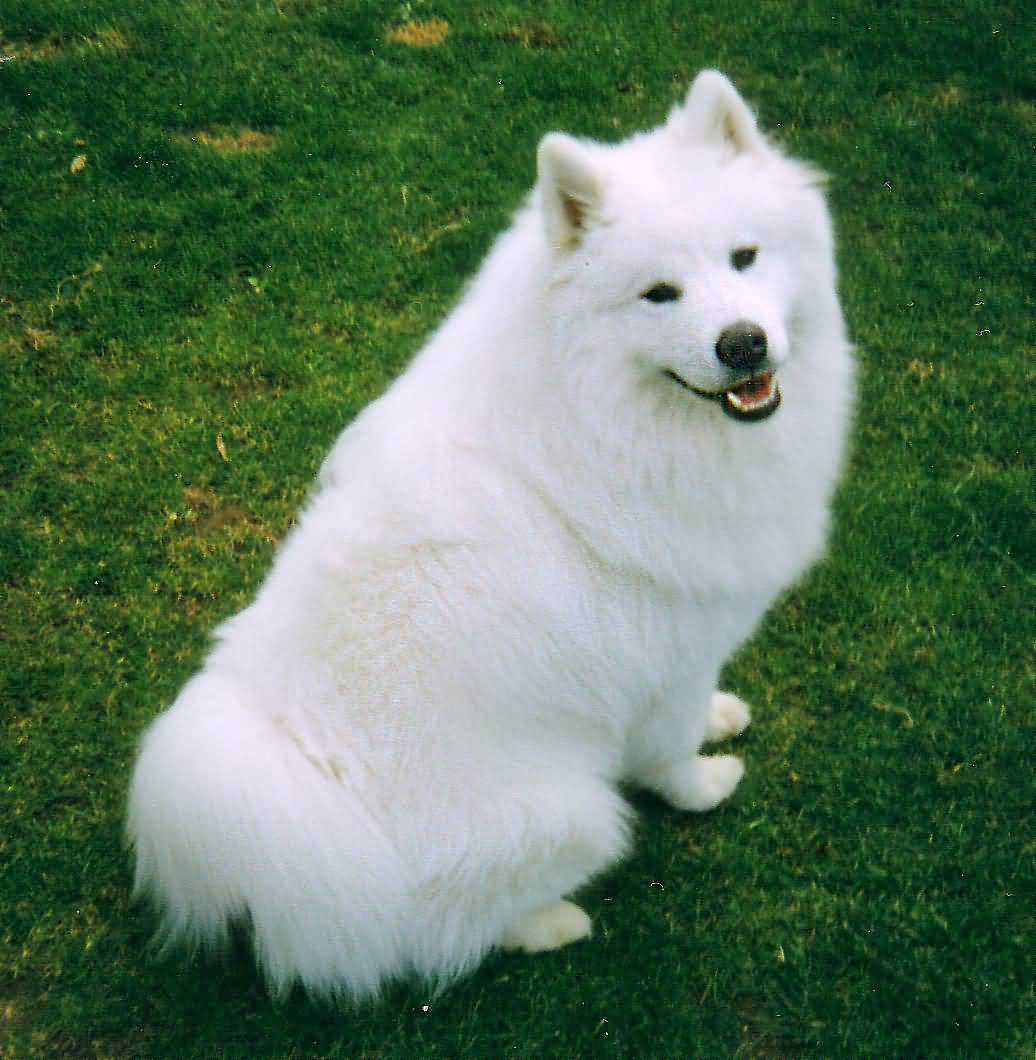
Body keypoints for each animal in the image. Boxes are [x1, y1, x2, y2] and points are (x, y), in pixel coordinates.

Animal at [129, 70, 852, 996]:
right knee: (443, 933)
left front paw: (722, 716)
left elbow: (698, 712)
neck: (605, 414)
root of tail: (318, 792)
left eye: (745, 257)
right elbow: (670, 752)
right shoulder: (669, 659)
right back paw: (552, 922)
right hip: (570, 815)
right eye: (659, 294)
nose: (743, 344)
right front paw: (705, 783)